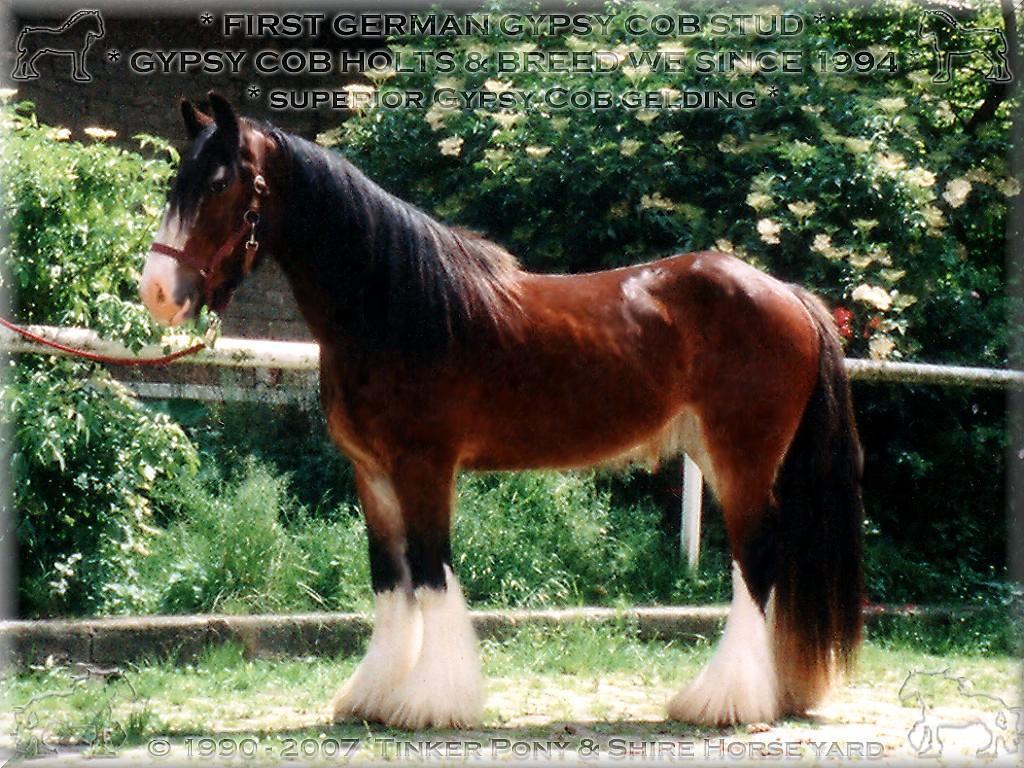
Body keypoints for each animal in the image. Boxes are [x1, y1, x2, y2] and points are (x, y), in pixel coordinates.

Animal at [140, 93, 864, 729]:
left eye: (220, 184)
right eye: (179, 180)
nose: (157, 292)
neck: (393, 308)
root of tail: (788, 294)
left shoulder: (425, 467)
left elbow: (432, 571)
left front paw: (431, 702)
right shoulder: (370, 473)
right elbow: (391, 579)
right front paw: (372, 695)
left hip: (741, 458)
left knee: (755, 563)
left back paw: (721, 701)